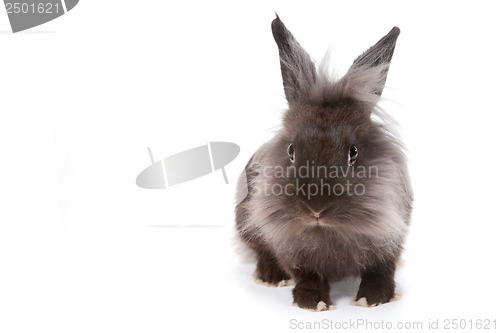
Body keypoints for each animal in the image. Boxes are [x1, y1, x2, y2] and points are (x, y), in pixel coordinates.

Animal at [236, 14, 412, 312]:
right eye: (291, 150)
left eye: (354, 152)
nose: (316, 210)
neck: (329, 230)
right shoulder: (293, 247)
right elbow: (308, 274)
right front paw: (312, 302)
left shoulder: (390, 237)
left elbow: (381, 269)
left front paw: (374, 298)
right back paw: (272, 277)